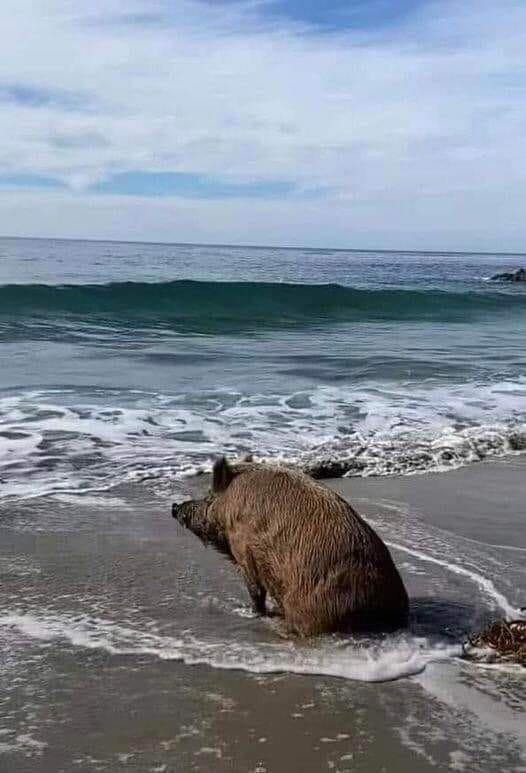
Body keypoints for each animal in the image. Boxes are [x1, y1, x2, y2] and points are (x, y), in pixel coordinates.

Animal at [172, 456, 409, 636]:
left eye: (208, 496)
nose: (175, 506)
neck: (229, 508)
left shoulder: (244, 551)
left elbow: (255, 589)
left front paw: (253, 613)